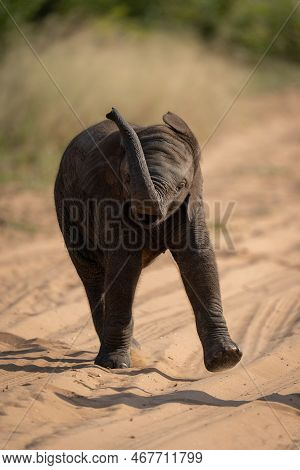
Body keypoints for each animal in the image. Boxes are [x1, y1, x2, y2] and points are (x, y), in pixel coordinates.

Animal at [54, 107, 241, 370]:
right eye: (127, 179)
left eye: (181, 185)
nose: (111, 111)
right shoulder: (108, 199)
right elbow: (124, 268)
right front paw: (115, 365)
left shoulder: (192, 201)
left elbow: (197, 261)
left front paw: (225, 359)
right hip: (65, 207)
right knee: (92, 275)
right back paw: (127, 352)